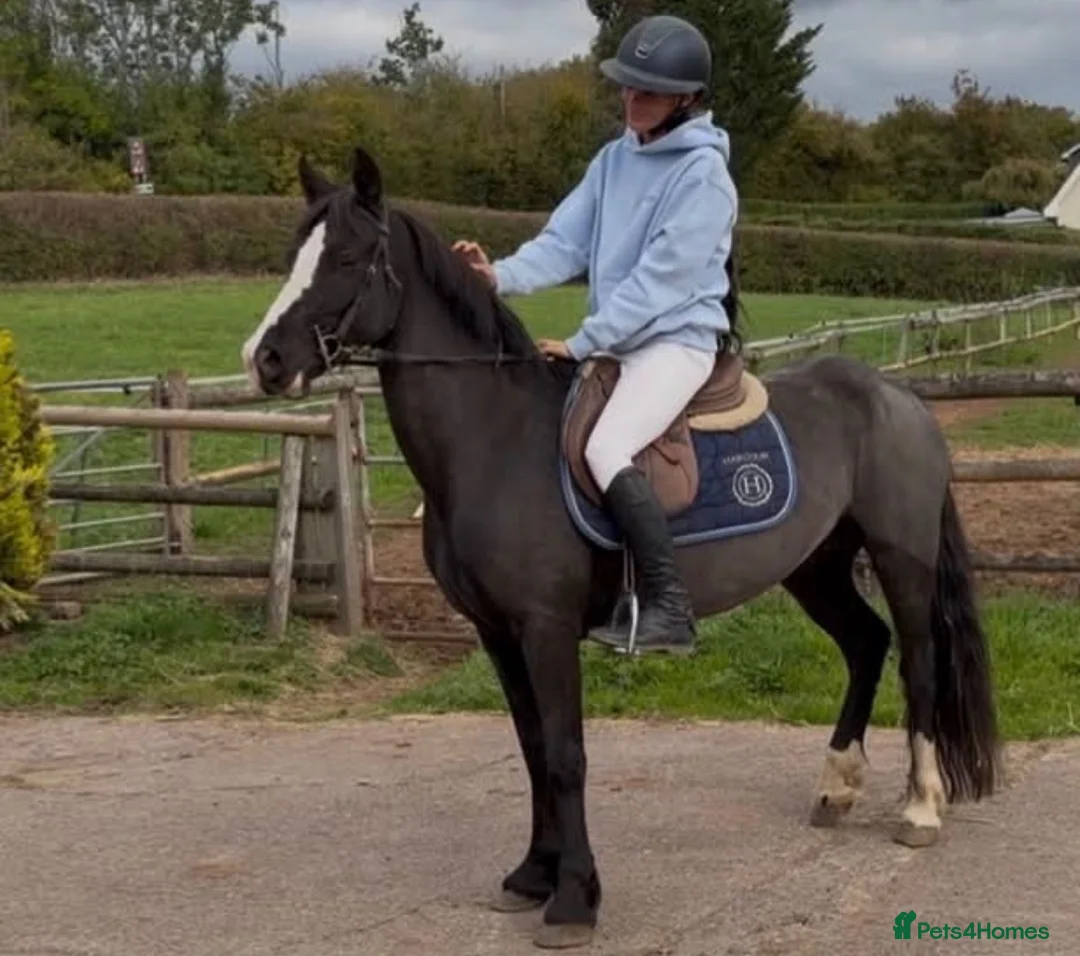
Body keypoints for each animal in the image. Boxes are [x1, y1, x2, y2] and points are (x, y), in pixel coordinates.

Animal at [240, 147, 1002, 950]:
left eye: (348, 257)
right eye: (294, 254)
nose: (264, 360)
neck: (494, 440)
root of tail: (897, 398)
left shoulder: (545, 629)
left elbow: (567, 754)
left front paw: (574, 897)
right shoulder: (497, 633)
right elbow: (533, 748)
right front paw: (533, 873)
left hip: (900, 558)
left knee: (918, 662)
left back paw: (920, 806)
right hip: (814, 567)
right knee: (865, 644)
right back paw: (836, 788)